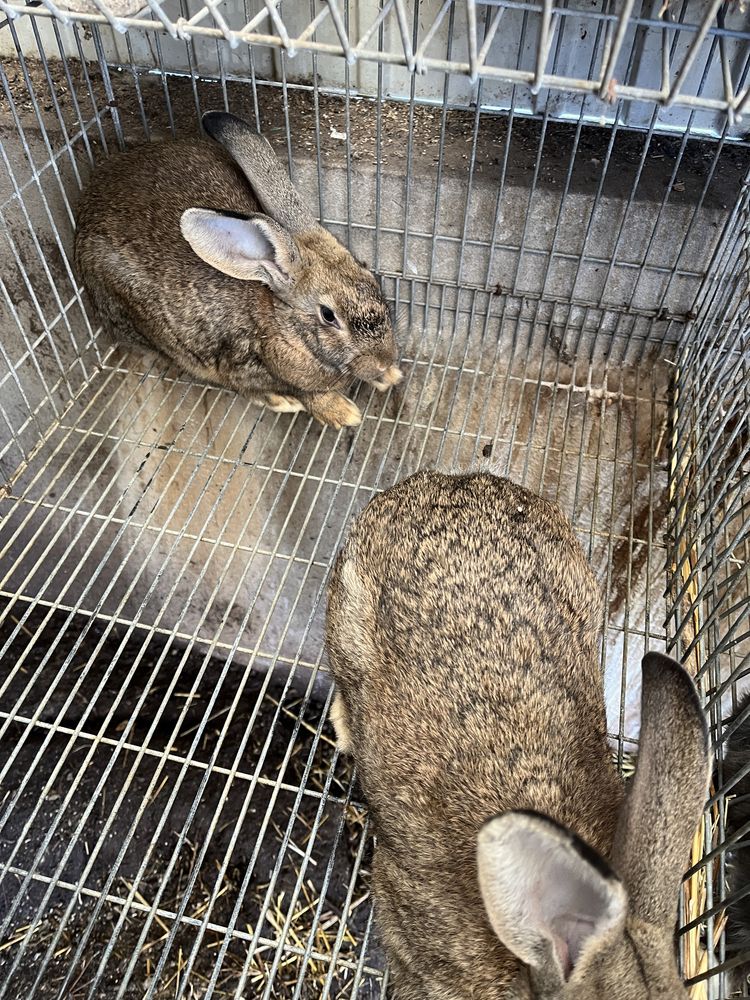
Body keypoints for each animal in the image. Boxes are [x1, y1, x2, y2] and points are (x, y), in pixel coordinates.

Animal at [75, 111, 406, 428]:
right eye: (328, 315)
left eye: (369, 274)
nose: (383, 359)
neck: (278, 323)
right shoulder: (238, 363)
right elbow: (299, 392)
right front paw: (342, 413)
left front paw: (389, 376)